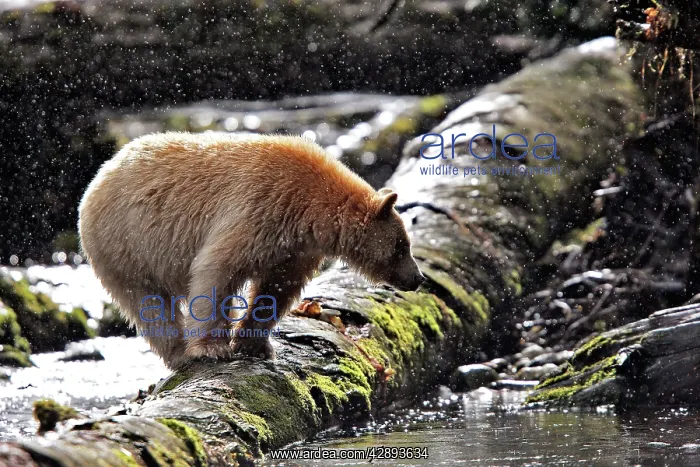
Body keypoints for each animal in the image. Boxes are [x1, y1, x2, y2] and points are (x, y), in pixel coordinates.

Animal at [78, 132, 424, 369]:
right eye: (401, 246)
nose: (418, 278)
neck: (311, 208)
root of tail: (100, 175)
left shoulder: (294, 247)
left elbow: (277, 287)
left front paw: (254, 344)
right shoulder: (258, 209)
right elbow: (217, 270)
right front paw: (212, 348)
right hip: (125, 246)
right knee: (148, 304)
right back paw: (179, 353)